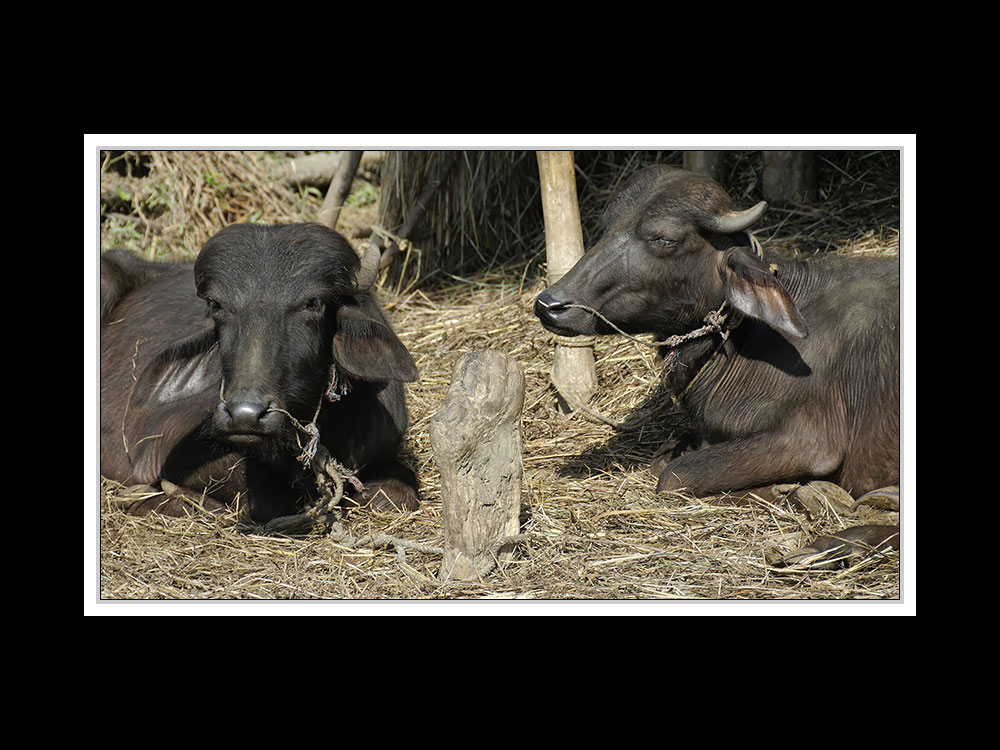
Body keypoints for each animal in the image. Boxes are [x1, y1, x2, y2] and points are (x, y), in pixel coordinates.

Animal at [536, 164, 904, 516]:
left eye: (663, 239)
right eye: (606, 226)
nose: (550, 305)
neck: (752, 336)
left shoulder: (807, 443)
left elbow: (673, 476)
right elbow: (665, 458)